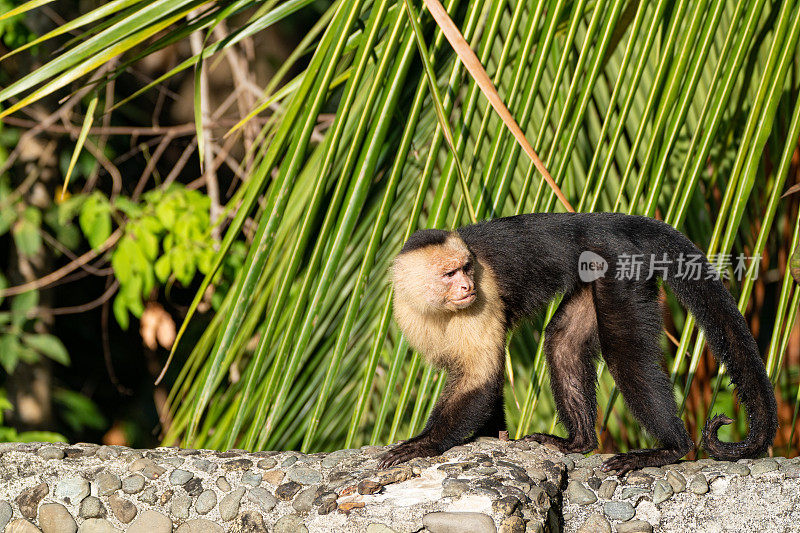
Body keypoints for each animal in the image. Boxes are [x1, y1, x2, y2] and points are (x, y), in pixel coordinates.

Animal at [378, 212, 780, 474]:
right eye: (450, 273)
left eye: (466, 268)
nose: (466, 286)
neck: (439, 308)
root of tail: (607, 221)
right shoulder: (407, 313)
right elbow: (479, 382)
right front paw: (488, 434)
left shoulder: (483, 299)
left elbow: (482, 379)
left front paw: (422, 444)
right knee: (563, 343)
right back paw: (579, 442)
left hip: (619, 266)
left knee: (625, 356)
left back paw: (671, 449)